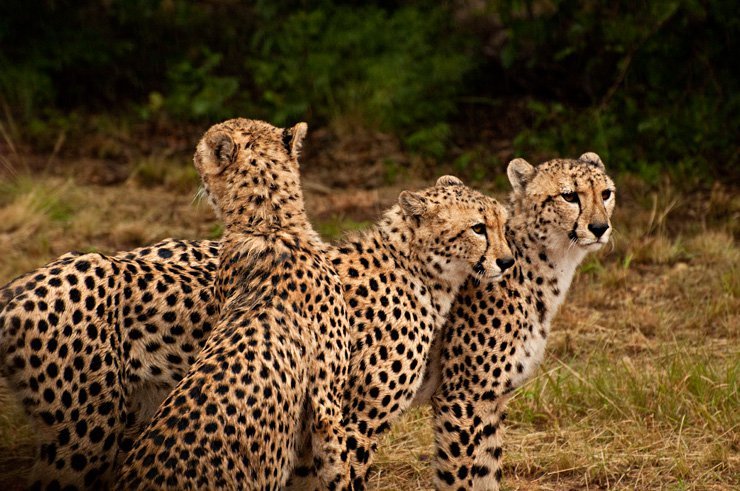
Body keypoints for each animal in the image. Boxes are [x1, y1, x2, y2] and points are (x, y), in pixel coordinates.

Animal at [424, 152, 616, 490]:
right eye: (569, 196)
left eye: (605, 194)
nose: (599, 227)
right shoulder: (460, 398)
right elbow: (458, 477)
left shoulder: (489, 401)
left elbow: (486, 472)